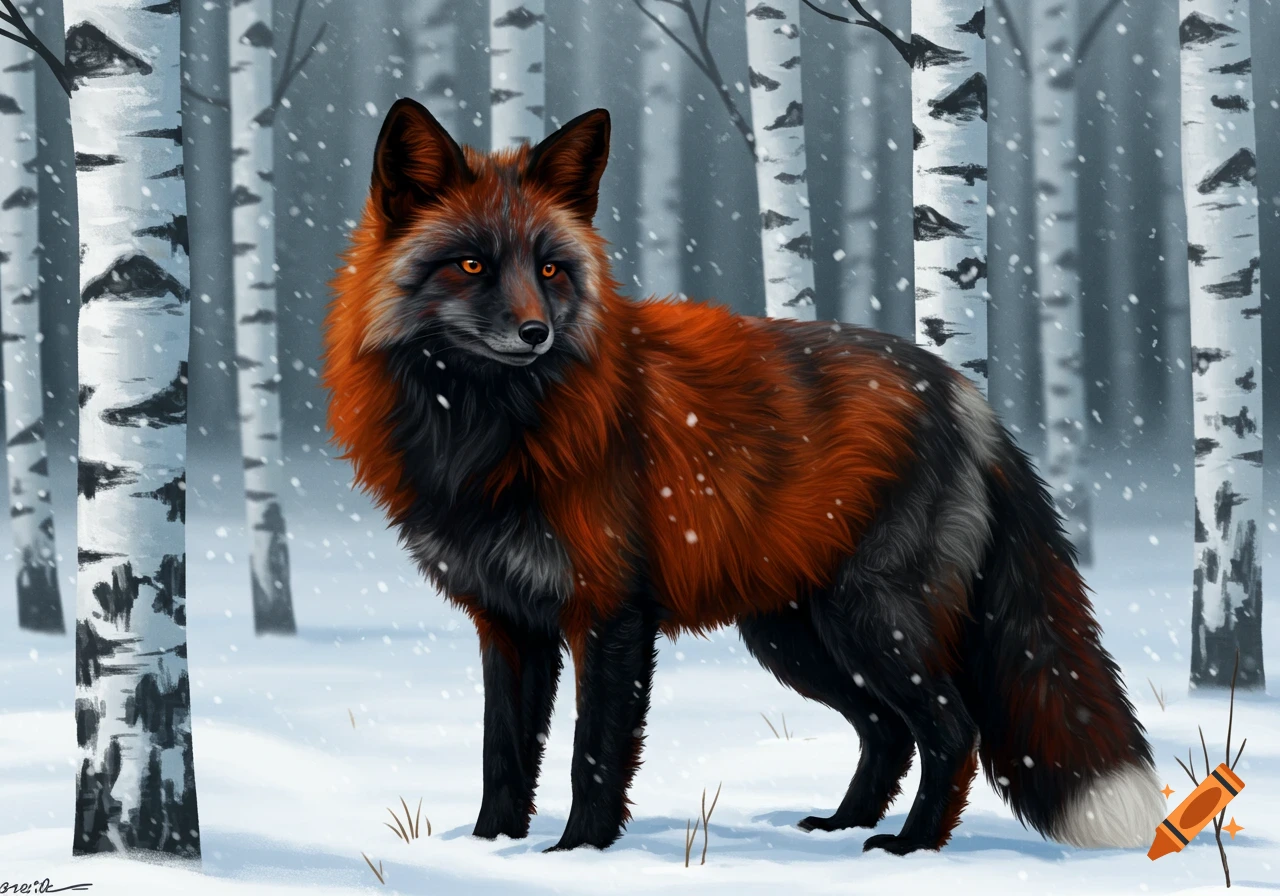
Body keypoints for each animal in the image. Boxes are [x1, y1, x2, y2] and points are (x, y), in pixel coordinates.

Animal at [322, 99, 1165, 855]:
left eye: (551, 269)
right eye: (472, 264)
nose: (536, 333)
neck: (485, 435)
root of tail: (961, 391)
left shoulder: (611, 610)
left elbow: (593, 754)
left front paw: (578, 854)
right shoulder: (508, 622)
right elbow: (503, 755)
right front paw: (487, 848)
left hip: (872, 618)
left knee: (953, 730)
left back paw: (911, 848)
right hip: (796, 636)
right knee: (888, 731)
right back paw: (844, 826)